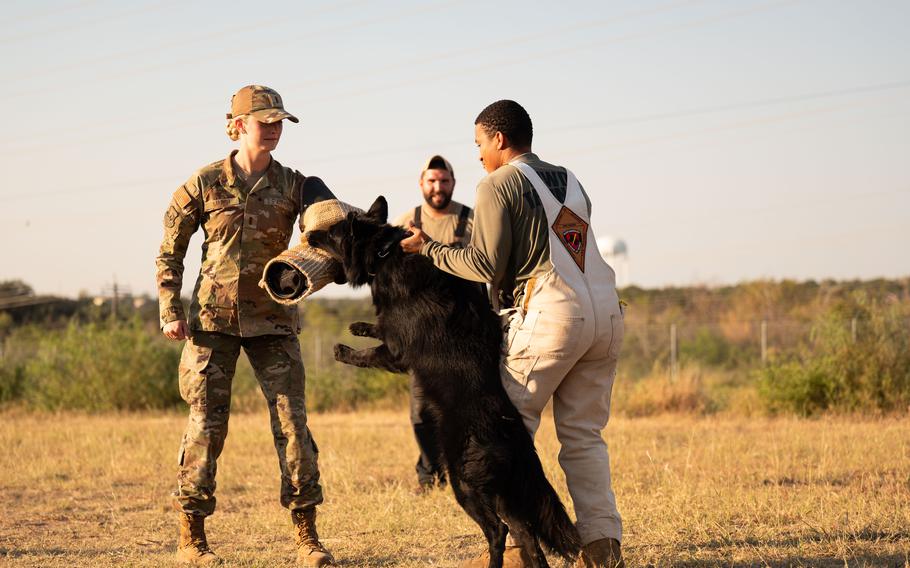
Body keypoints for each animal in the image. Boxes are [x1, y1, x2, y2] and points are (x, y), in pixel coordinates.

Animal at [310, 196, 580, 568]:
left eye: (332, 233)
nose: (308, 237)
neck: (385, 251)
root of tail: (513, 434)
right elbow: (379, 326)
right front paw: (361, 326)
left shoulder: (397, 354)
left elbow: (370, 353)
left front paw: (343, 350)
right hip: (501, 491)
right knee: (525, 532)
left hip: (463, 480)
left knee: (498, 530)